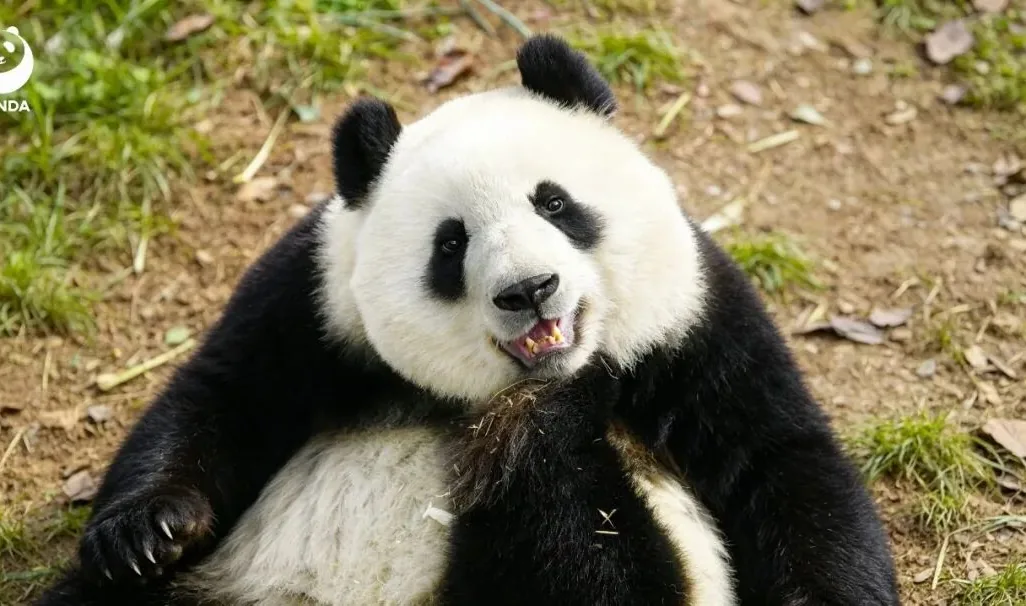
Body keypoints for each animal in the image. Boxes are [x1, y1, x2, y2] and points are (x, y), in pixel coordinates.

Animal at [36, 34, 900, 606]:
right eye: (450, 243)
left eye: (555, 203)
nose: (530, 289)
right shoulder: (316, 298)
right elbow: (223, 395)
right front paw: (145, 533)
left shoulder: (694, 318)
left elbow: (781, 461)